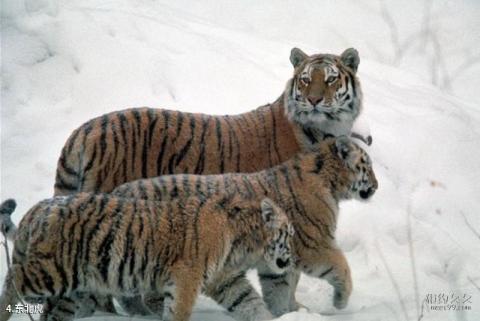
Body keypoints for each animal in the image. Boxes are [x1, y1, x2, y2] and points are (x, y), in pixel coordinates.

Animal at [0, 194, 292, 320]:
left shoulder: (224, 279)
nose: (291, 258)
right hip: (53, 271)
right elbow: (177, 312)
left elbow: (249, 302)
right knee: (13, 277)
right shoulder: (187, 278)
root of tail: (37, 209)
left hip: (68, 289)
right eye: (288, 233)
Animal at [112, 136, 378, 316]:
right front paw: (340, 302)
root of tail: (118, 189)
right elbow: (340, 266)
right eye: (366, 165)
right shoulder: (313, 246)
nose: (376, 186)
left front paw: (290, 311)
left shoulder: (281, 258)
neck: (330, 183)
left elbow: (282, 287)